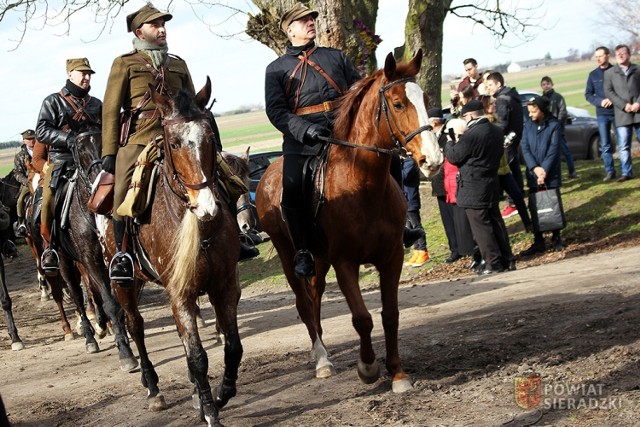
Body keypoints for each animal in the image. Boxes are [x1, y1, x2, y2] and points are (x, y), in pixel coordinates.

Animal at [97, 78, 242, 426]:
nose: (207, 208)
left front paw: (219, 394)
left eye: (210, 136)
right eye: (174, 144)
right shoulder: (180, 293)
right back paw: (153, 389)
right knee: (135, 326)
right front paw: (211, 412)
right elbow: (198, 356)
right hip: (124, 283)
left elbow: (232, 347)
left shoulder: (224, 286)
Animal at [254, 51, 440, 394]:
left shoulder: (391, 258)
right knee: (303, 304)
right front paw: (367, 368)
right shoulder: (345, 262)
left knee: (314, 298)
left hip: (319, 259)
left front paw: (398, 374)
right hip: (290, 256)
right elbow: (362, 318)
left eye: (425, 99)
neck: (362, 184)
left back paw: (323, 354)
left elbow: (390, 314)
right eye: (397, 104)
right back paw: (321, 360)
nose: (432, 160)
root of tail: (266, 176)